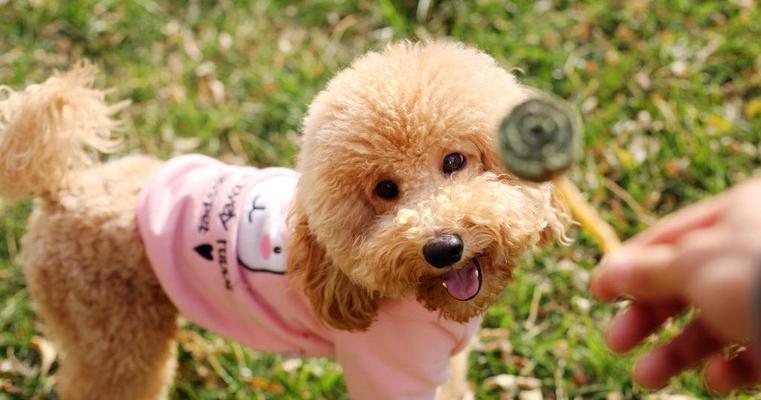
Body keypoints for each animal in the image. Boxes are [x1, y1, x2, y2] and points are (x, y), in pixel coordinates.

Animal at [0, 42, 568, 398]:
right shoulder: (390, 372)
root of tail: (61, 190)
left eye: (454, 160)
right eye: (385, 190)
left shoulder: (444, 365)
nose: (444, 247)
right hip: (111, 336)